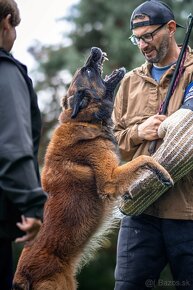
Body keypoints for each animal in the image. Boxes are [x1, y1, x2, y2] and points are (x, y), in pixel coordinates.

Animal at [12, 47, 171, 290]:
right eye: (86, 70)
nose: (95, 50)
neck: (83, 120)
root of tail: (22, 276)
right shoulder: (110, 179)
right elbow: (143, 158)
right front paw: (162, 172)